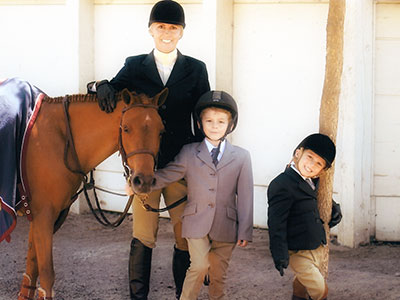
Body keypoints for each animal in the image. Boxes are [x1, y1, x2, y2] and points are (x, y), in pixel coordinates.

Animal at [16, 88, 167, 298]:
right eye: (126, 128)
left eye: (161, 131)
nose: (143, 181)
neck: (60, 138)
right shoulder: (43, 215)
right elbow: (46, 275)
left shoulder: (41, 217)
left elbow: (31, 268)